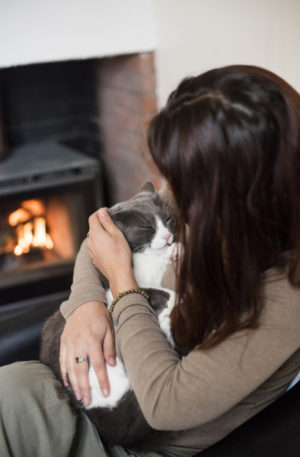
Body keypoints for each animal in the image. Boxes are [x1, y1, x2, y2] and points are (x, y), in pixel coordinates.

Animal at [39, 180, 180, 450]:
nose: (168, 237)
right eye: (146, 227)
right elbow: (158, 287)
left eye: (168, 219)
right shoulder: (128, 284)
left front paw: (175, 250)